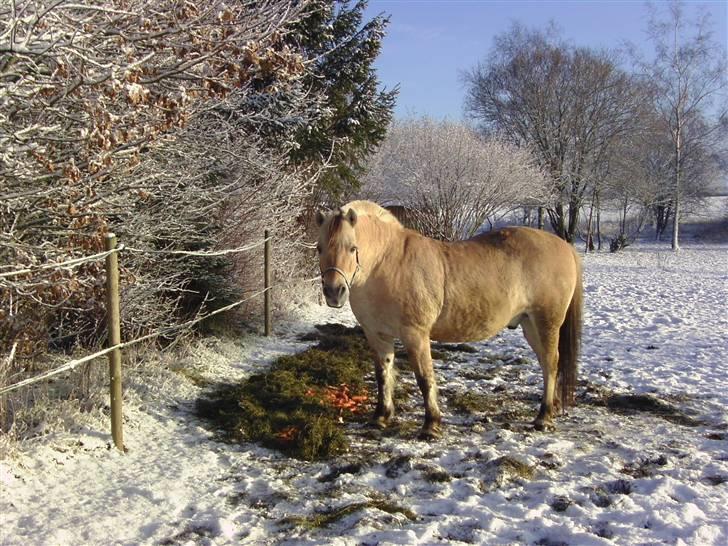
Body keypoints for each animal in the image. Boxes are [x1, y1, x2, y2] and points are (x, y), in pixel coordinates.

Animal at [316, 200, 584, 438]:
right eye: (319, 248)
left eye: (352, 248)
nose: (334, 292)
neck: (387, 263)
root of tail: (565, 246)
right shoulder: (377, 334)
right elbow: (383, 375)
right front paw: (381, 417)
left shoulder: (415, 335)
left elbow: (425, 379)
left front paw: (431, 426)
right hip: (530, 325)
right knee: (547, 364)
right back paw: (551, 409)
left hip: (546, 322)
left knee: (551, 363)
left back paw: (543, 418)